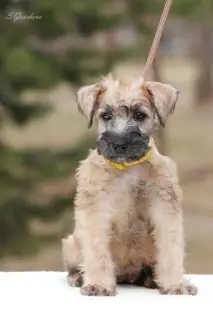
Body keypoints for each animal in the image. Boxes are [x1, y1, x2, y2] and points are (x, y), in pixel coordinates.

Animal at [61, 74, 198, 296]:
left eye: (139, 115)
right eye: (106, 116)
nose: (119, 144)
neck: (128, 168)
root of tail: (128, 275)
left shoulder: (165, 209)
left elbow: (171, 249)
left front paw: (175, 284)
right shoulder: (95, 212)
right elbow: (97, 250)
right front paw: (99, 285)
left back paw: (151, 279)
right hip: (72, 243)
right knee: (74, 266)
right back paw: (78, 277)